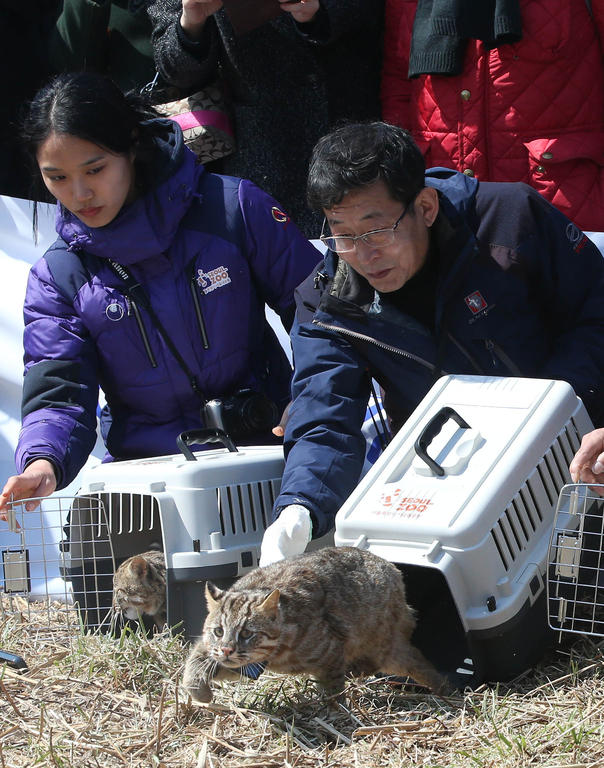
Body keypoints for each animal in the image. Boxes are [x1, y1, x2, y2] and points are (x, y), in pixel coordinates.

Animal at [182, 544, 446, 704]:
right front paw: (200, 693)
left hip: (383, 645)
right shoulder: (232, 660)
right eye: (218, 631)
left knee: (409, 661)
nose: (227, 649)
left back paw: (446, 688)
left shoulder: (331, 652)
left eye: (247, 633)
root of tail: (389, 566)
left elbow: (332, 689)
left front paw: (333, 712)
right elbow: (194, 664)